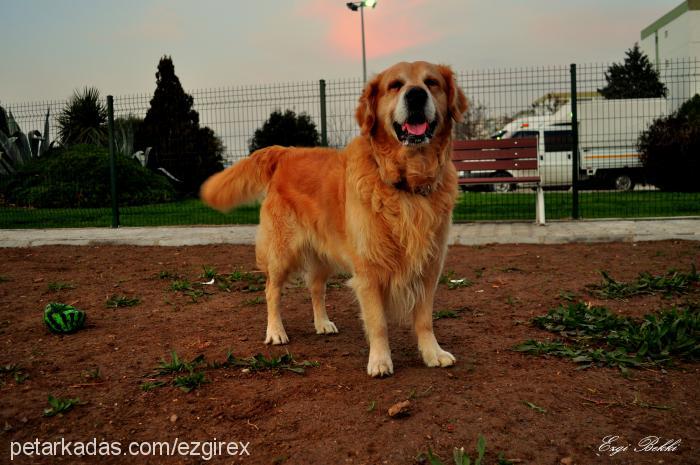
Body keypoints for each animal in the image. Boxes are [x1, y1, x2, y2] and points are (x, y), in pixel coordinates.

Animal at [200, 59, 468, 376]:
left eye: (431, 82)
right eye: (395, 85)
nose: (416, 95)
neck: (407, 184)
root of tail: (284, 152)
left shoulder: (429, 266)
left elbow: (425, 319)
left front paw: (432, 353)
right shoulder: (368, 270)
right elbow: (378, 323)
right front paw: (380, 360)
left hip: (322, 254)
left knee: (316, 288)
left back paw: (322, 323)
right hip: (282, 252)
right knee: (271, 291)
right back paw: (276, 331)